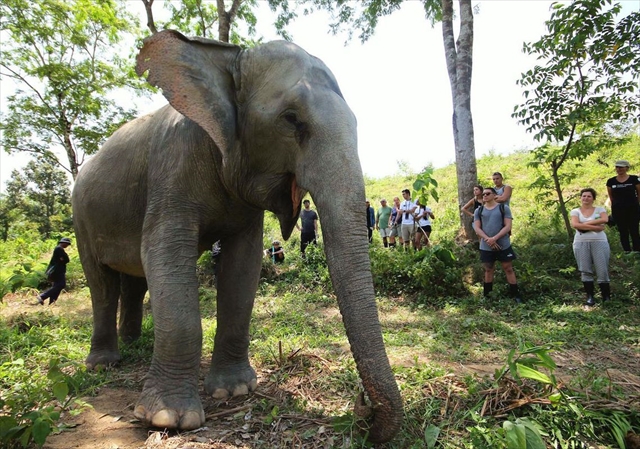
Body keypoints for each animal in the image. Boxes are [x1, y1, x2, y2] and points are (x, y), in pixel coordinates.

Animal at [72, 29, 402, 442]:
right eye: (291, 119)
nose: (364, 410)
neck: (227, 58)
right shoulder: (172, 167)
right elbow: (165, 252)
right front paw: (167, 419)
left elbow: (242, 265)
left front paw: (234, 390)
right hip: (81, 217)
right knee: (101, 283)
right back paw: (103, 364)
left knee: (134, 281)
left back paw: (136, 344)